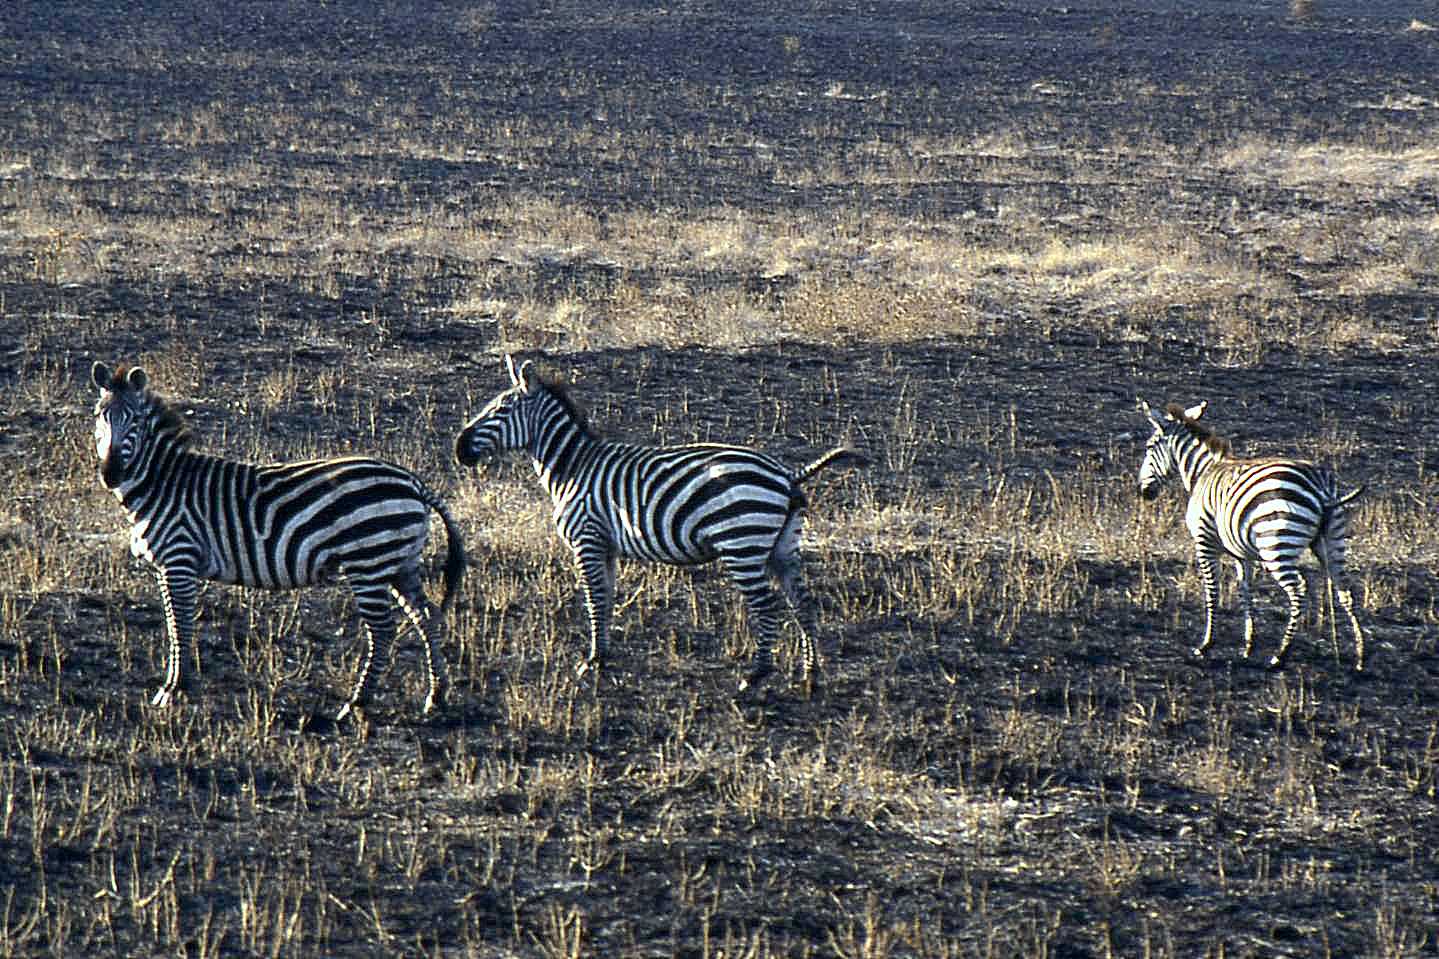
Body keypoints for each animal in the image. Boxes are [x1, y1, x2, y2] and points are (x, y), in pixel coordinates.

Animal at [88, 359, 466, 717]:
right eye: (99, 417)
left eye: (136, 421)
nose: (111, 474)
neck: (163, 484)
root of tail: (414, 482)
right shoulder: (167, 567)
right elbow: (173, 623)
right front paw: (175, 685)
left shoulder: (179, 560)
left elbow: (179, 624)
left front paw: (174, 689)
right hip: (399, 563)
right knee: (427, 616)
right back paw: (436, 695)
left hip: (369, 563)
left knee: (384, 631)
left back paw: (356, 704)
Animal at [454, 354, 869, 691]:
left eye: (500, 410)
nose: (459, 448)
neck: (572, 467)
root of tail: (785, 474)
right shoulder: (605, 545)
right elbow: (605, 599)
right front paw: (602, 657)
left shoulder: (586, 539)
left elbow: (593, 598)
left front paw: (591, 661)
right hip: (782, 545)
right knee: (802, 602)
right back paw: (810, 674)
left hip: (742, 544)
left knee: (766, 606)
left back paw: (756, 676)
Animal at [1133, 394, 1358, 665]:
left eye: (1148, 447)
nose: (1142, 491)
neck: (1202, 471)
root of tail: (1320, 487)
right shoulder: (1241, 553)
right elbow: (1244, 590)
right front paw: (1248, 644)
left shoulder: (1205, 542)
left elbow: (1212, 591)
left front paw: (1206, 644)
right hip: (1333, 541)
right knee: (1345, 590)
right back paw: (1360, 655)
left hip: (1277, 544)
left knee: (1298, 590)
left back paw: (1281, 654)